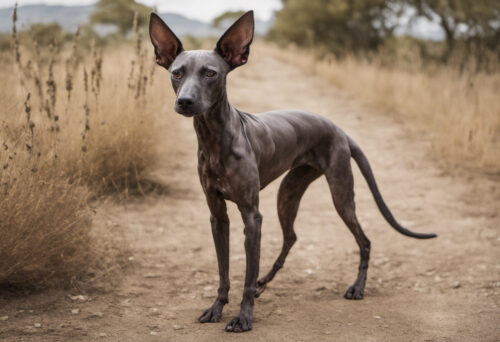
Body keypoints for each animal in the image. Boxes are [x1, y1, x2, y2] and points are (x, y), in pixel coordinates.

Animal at [148, 10, 438, 332]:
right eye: (177, 73)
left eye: (210, 73)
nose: (185, 101)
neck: (214, 138)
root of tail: (340, 130)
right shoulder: (217, 216)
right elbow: (224, 272)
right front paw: (217, 307)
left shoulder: (252, 216)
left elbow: (246, 276)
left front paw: (243, 317)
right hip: (288, 193)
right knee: (291, 237)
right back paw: (265, 282)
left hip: (340, 195)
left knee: (364, 240)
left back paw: (357, 288)